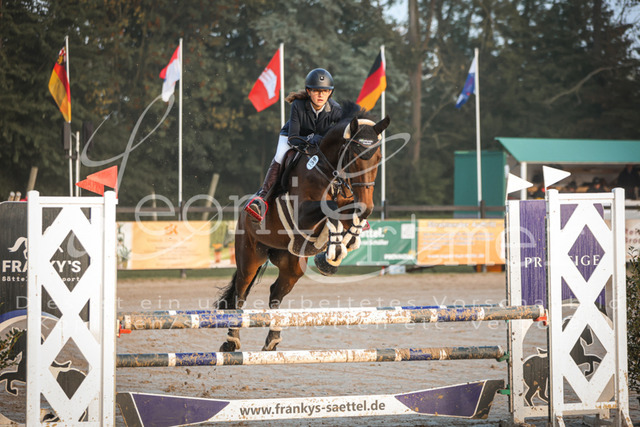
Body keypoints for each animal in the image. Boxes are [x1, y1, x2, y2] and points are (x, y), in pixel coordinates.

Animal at [217, 101, 390, 352]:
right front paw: (333, 250)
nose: (368, 203)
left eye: (378, 157)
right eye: (354, 157)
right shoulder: (302, 216)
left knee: (275, 293)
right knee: (240, 293)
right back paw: (231, 340)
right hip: (250, 256)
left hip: (292, 265)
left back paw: (273, 339)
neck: (328, 171)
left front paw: (341, 247)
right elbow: (330, 208)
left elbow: (351, 216)